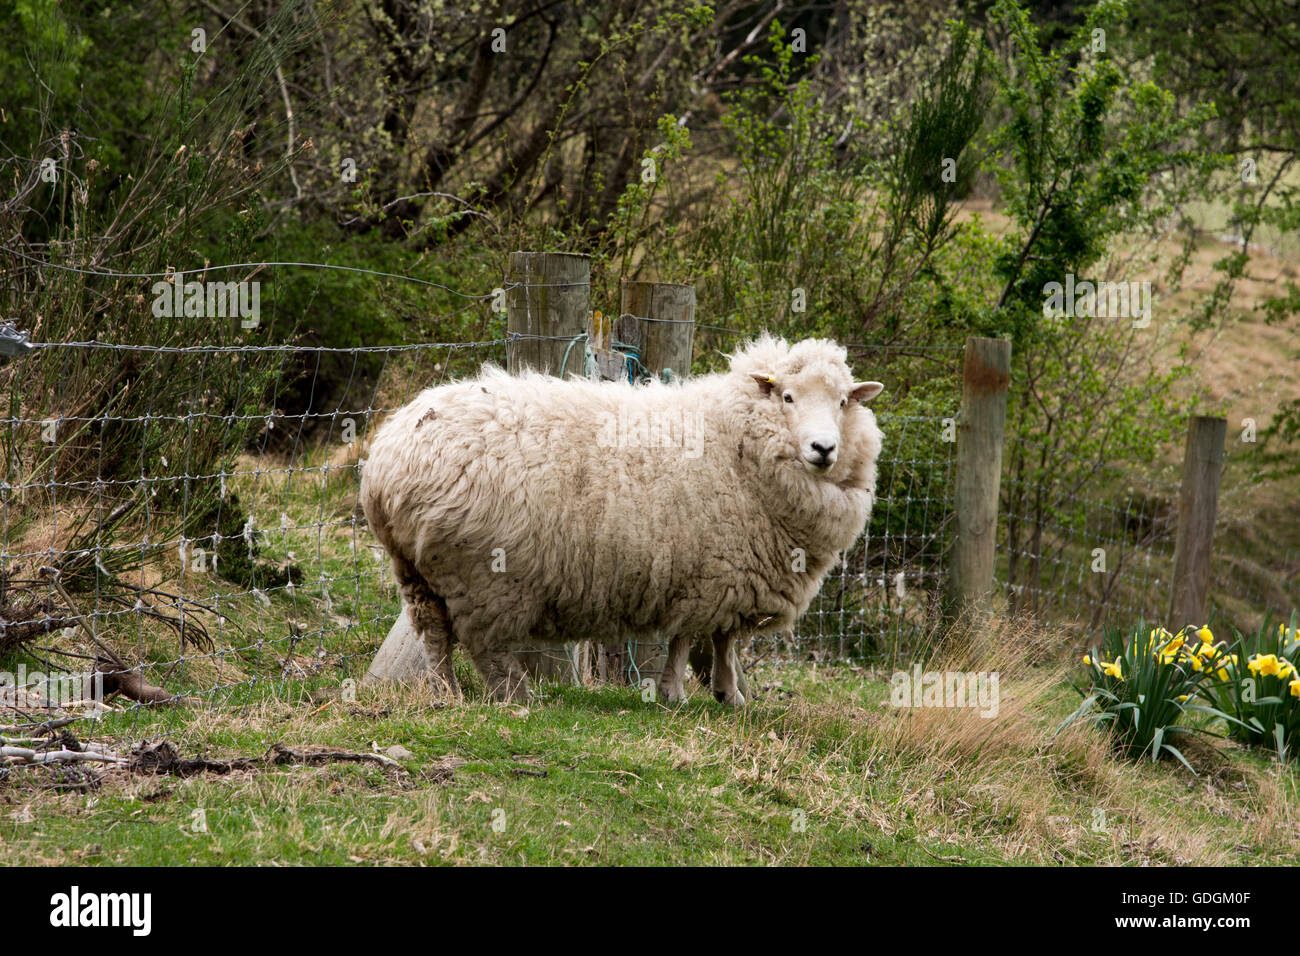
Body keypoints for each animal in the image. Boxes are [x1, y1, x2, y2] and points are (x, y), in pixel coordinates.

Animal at [359, 335, 884, 705]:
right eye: (788, 397)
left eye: (843, 402)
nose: (824, 449)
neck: (736, 439)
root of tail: (387, 460)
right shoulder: (710, 571)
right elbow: (690, 637)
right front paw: (677, 692)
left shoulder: (727, 573)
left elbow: (722, 638)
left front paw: (728, 693)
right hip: (483, 574)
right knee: (482, 644)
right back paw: (516, 696)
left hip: (416, 571)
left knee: (434, 635)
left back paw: (445, 692)